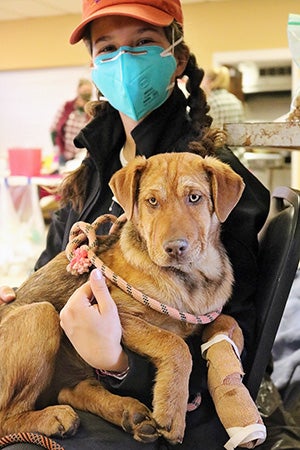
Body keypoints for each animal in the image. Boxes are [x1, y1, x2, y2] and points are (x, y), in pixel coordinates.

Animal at [0, 153, 245, 444]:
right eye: (152, 201)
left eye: (194, 197)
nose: (175, 248)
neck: (190, 279)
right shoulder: (120, 313)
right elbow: (174, 344)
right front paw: (172, 412)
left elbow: (229, 320)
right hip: (40, 314)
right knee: (7, 417)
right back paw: (53, 417)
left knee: (70, 391)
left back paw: (130, 414)